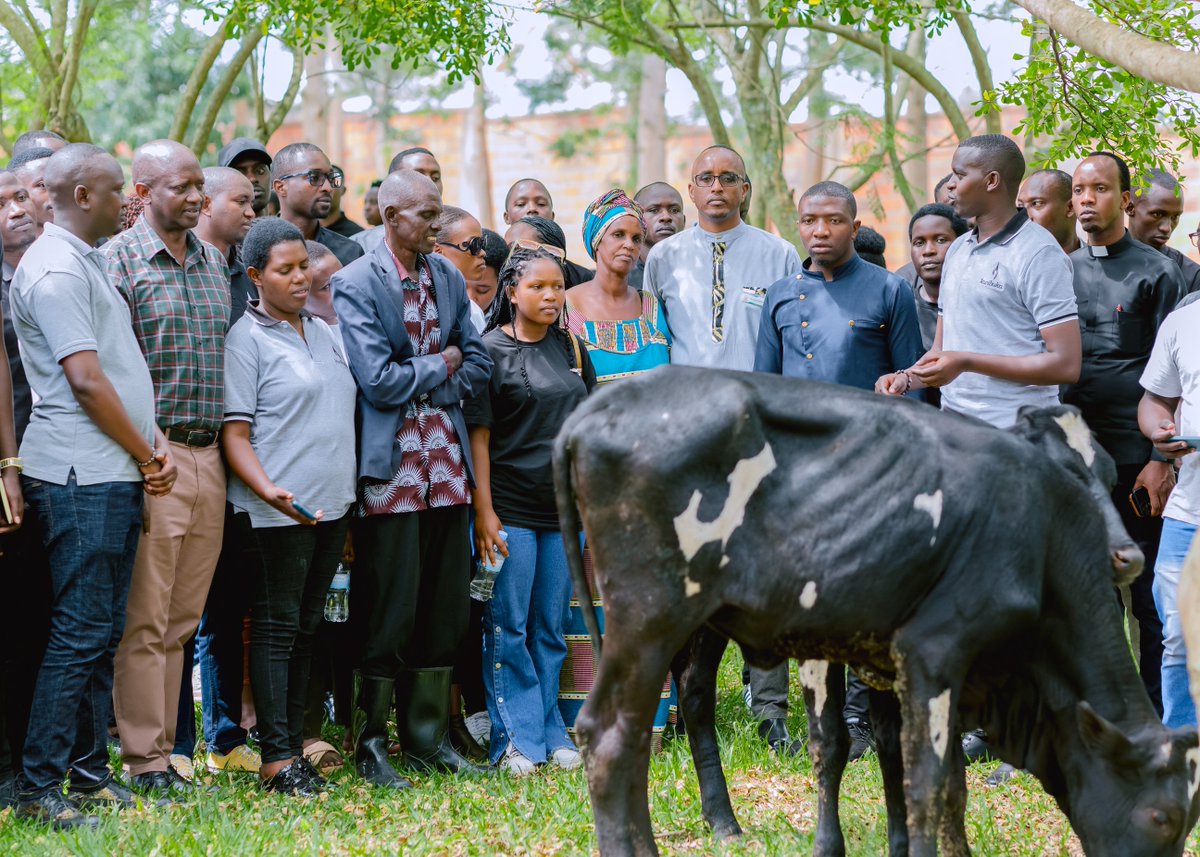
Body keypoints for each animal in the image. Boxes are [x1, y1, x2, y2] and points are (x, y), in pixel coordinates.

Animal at [552, 364, 1200, 854]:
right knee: (614, 734)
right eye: (1162, 818)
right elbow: (879, 764)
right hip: (649, 619)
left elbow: (910, 765)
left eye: (1109, 474)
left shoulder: (891, 661)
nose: (1125, 558)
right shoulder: (913, 651)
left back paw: (722, 821)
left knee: (675, 706)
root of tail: (595, 410)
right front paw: (832, 845)